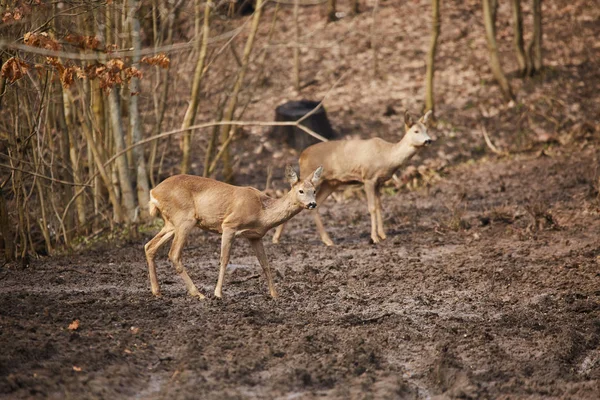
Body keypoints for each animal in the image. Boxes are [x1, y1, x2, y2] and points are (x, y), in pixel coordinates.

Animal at [145, 164, 324, 298]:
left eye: (314, 190)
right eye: (301, 191)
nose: (312, 204)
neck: (262, 213)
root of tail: (153, 192)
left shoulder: (255, 236)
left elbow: (265, 263)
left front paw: (275, 294)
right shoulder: (229, 225)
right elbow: (224, 259)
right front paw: (218, 293)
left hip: (171, 223)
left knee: (149, 246)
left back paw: (157, 291)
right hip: (185, 219)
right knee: (174, 254)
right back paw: (198, 294)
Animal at [272, 111, 432, 245]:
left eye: (426, 129)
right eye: (416, 131)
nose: (429, 140)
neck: (387, 157)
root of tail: (301, 156)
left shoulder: (378, 182)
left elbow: (379, 206)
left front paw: (383, 235)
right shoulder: (368, 177)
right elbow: (372, 208)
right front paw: (374, 238)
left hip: (331, 183)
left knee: (315, 206)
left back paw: (327, 240)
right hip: (309, 176)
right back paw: (276, 239)